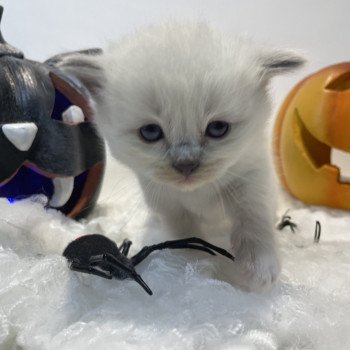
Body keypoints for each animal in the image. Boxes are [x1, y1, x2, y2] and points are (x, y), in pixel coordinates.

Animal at [54, 22, 304, 292]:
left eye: (218, 128)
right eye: (150, 132)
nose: (186, 165)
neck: (197, 192)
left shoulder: (252, 175)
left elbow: (253, 216)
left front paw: (259, 266)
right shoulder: (165, 200)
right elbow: (185, 232)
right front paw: (194, 265)